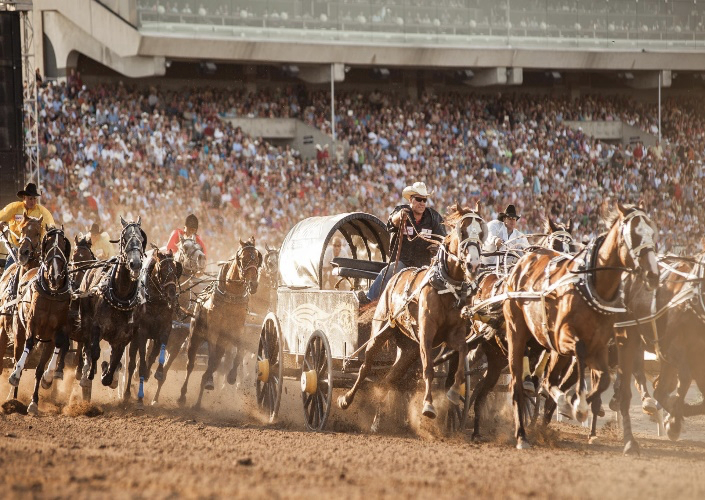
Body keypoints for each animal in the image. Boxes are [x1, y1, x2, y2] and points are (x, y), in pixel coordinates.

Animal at [7, 227, 71, 414]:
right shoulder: (32, 324)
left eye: (63, 243)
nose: (55, 275)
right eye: (47, 243)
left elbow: (54, 351)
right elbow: (28, 345)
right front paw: (15, 376)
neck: (52, 292)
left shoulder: (57, 331)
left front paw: (47, 381)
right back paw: (12, 398)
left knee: (38, 367)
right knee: (17, 356)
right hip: (18, 332)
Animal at [179, 236, 262, 408]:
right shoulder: (214, 331)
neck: (231, 296)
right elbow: (210, 359)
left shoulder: (236, 330)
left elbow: (239, 353)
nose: (253, 284)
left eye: (257, 259)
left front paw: (232, 376)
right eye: (243, 259)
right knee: (191, 365)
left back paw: (200, 398)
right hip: (195, 337)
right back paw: (184, 395)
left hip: (222, 345)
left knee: (216, 363)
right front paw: (211, 380)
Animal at [338, 204, 486, 422]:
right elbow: (428, 370)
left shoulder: (455, 335)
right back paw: (346, 400)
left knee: (390, 378)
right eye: (463, 231)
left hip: (408, 348)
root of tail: (393, 277)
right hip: (380, 332)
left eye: (481, 232)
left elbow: (462, 357)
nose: (473, 264)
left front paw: (452, 393)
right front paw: (428, 406)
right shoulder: (426, 334)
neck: (446, 286)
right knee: (365, 366)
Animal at [500, 203, 660, 450]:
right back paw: (522, 435)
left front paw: (582, 405)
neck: (592, 286)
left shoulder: (602, 346)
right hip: (517, 333)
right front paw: (575, 405)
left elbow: (605, 381)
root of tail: (522, 263)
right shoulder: (566, 339)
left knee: (549, 379)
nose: (653, 273)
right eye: (633, 235)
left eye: (653, 233)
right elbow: (579, 357)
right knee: (518, 384)